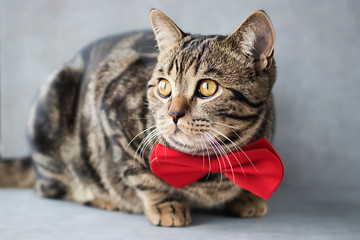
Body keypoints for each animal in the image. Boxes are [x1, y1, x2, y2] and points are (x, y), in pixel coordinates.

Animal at [0, 9, 278, 227]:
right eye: (164, 87)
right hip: (55, 106)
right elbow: (139, 173)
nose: (173, 114)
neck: (207, 165)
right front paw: (166, 204)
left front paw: (246, 196)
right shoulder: (112, 104)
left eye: (207, 87)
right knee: (53, 187)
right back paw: (102, 197)